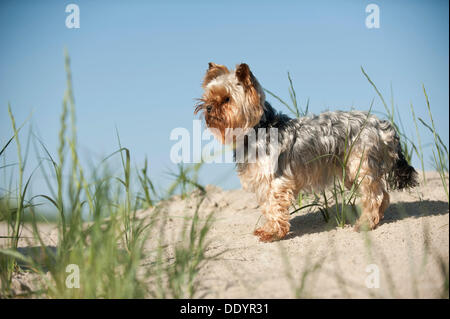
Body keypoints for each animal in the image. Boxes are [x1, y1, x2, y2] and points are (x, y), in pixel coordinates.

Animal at [193, 63, 418, 242]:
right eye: (209, 97)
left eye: (227, 99)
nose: (208, 107)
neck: (259, 128)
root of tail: (382, 126)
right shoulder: (263, 182)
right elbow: (266, 207)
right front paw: (268, 229)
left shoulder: (276, 181)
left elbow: (273, 206)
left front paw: (273, 233)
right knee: (383, 194)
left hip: (359, 165)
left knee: (375, 195)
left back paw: (365, 223)